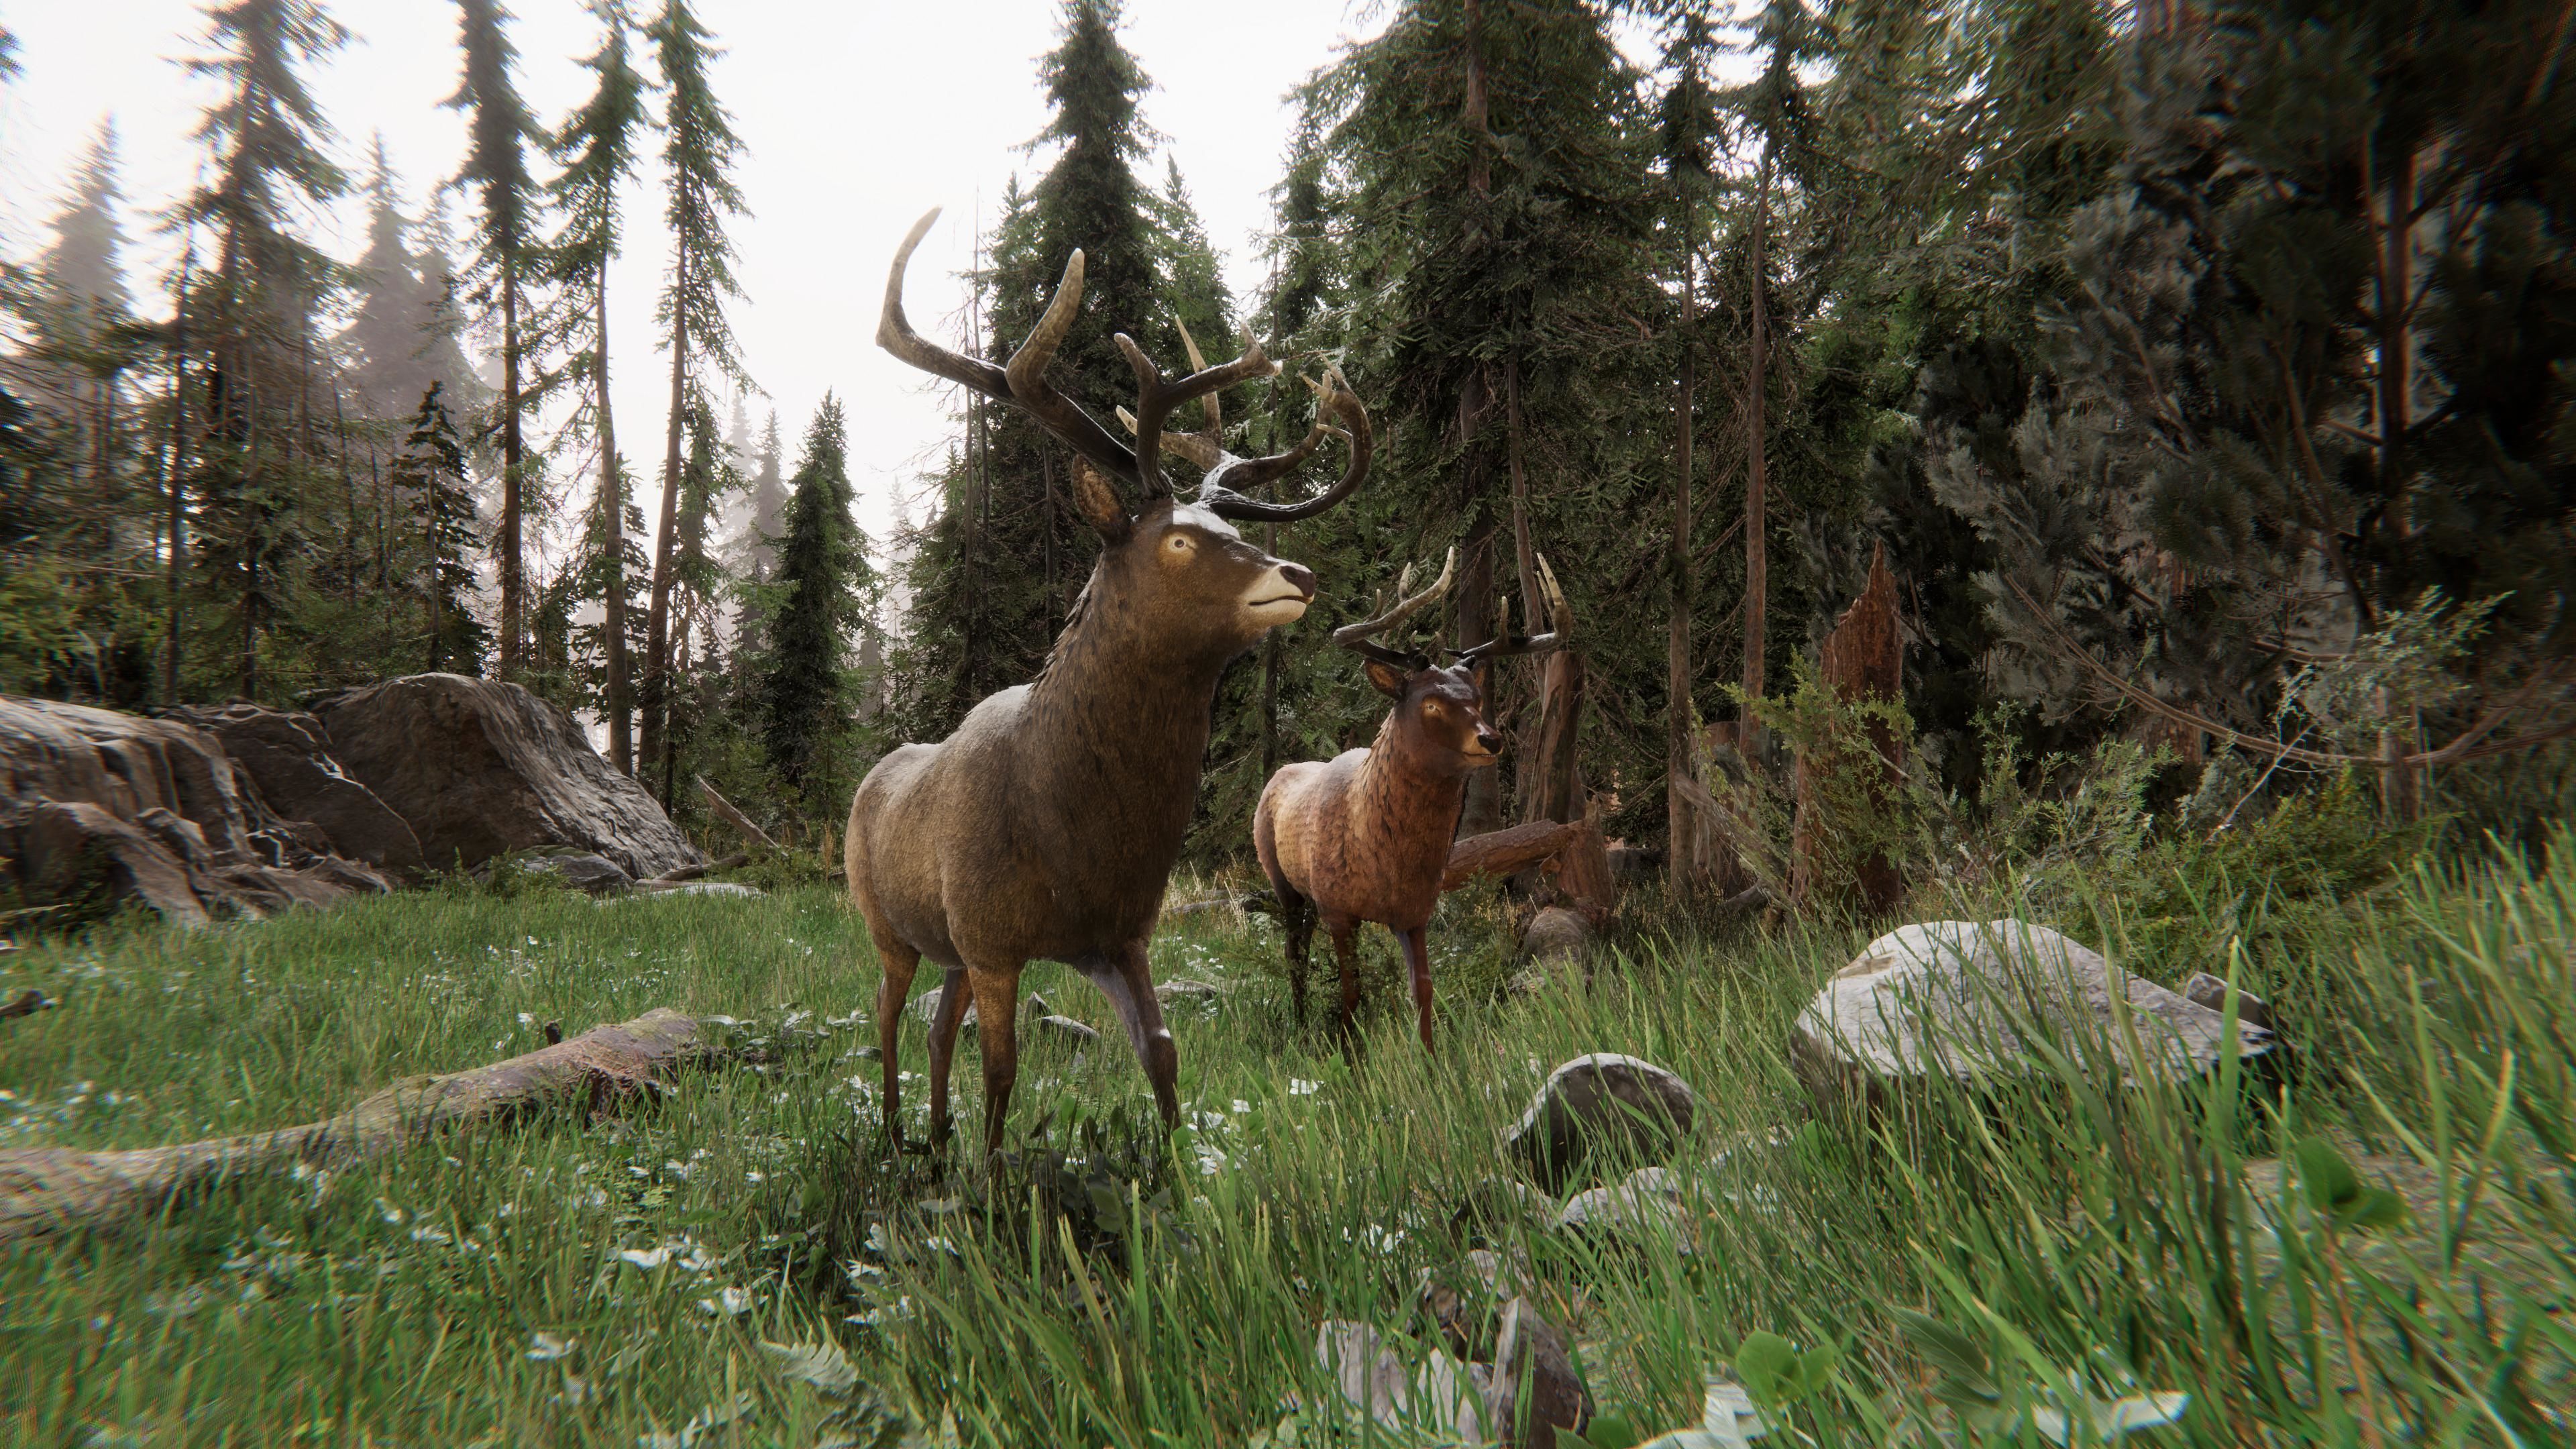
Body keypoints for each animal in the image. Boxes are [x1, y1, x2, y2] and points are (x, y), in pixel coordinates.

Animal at [849, 208, 1373, 1158]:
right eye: (1177, 540)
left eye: (1224, 526)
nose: (1297, 574)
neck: (1074, 835)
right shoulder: (994, 938)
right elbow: (1003, 1073)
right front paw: (992, 1180)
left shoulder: (1121, 932)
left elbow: (1162, 1055)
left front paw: (1176, 1168)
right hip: (889, 924)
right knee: (885, 1016)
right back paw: (901, 1136)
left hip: (950, 948)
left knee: (936, 1029)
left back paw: (936, 1142)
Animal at [1251, 548, 1568, 1051]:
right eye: (1431, 704)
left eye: (1477, 696)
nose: (1492, 739)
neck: (1389, 862)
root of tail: (1279, 773)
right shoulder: (1340, 908)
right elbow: (1353, 989)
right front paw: (1350, 1053)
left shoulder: (1415, 912)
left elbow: (1423, 989)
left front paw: (1429, 1058)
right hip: (1283, 879)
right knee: (1294, 952)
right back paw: (1300, 1023)